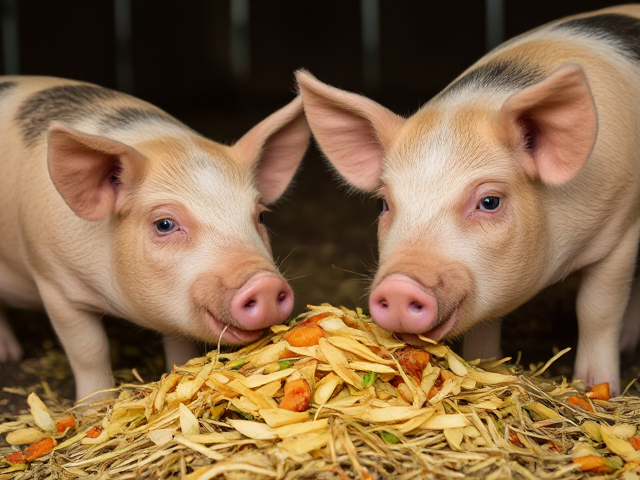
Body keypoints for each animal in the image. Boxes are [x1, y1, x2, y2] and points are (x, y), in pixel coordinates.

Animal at [0, 76, 310, 400]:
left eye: (261, 216)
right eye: (164, 224)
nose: (265, 284)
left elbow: (178, 343)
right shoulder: (54, 283)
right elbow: (90, 351)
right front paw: (93, 405)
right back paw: (10, 356)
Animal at [297, 4, 640, 395]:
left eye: (489, 202)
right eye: (383, 204)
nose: (399, 286)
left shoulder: (622, 230)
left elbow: (597, 310)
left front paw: (595, 388)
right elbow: (485, 326)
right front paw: (486, 365)